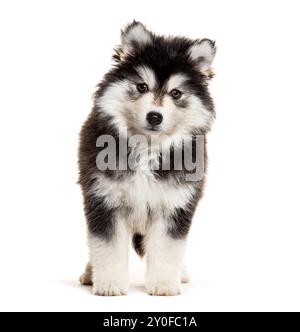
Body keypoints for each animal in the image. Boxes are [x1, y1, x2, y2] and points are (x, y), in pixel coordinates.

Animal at [78, 21, 216, 296]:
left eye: (176, 93)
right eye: (142, 86)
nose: (154, 116)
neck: (147, 148)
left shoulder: (174, 204)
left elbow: (167, 248)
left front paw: (163, 284)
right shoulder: (104, 200)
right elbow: (106, 247)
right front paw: (109, 284)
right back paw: (90, 273)